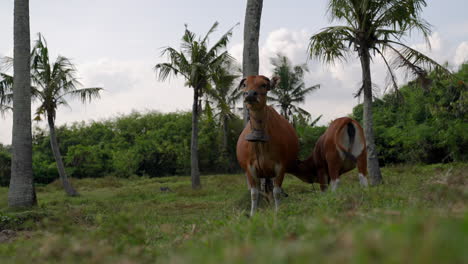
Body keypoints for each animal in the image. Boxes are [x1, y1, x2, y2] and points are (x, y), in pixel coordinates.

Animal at [236, 75, 298, 216]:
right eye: (245, 85)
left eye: (263, 85)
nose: (250, 94)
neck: (260, 141)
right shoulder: (250, 169)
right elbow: (254, 194)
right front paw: (253, 214)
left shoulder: (281, 167)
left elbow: (277, 192)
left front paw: (277, 211)